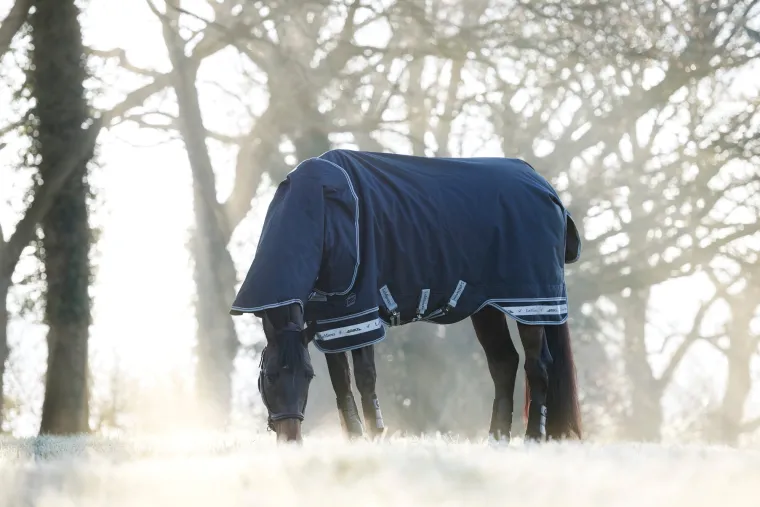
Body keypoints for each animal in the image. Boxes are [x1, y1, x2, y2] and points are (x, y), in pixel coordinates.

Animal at [232, 149, 583, 443]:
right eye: (269, 376)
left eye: (306, 376)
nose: (290, 439)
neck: (323, 211)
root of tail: (545, 188)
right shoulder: (331, 318)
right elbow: (341, 380)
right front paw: (355, 437)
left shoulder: (361, 309)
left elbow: (365, 376)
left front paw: (375, 434)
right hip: (488, 307)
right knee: (504, 363)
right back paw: (496, 438)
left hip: (531, 305)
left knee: (538, 364)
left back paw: (533, 437)